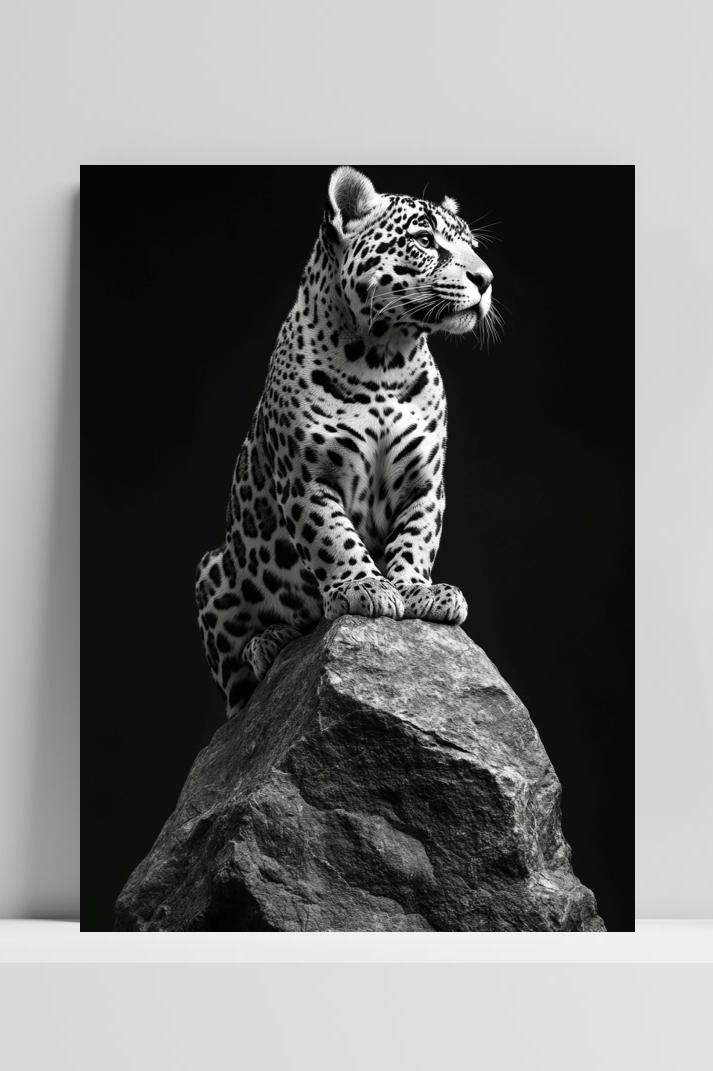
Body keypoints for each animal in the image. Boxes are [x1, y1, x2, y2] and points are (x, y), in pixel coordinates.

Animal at [195, 166, 496, 718]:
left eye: (471, 245)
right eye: (425, 241)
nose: (486, 280)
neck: (384, 358)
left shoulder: (425, 482)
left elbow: (417, 536)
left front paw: (417, 590)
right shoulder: (308, 477)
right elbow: (331, 535)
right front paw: (364, 586)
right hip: (213, 572)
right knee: (237, 687)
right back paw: (269, 644)